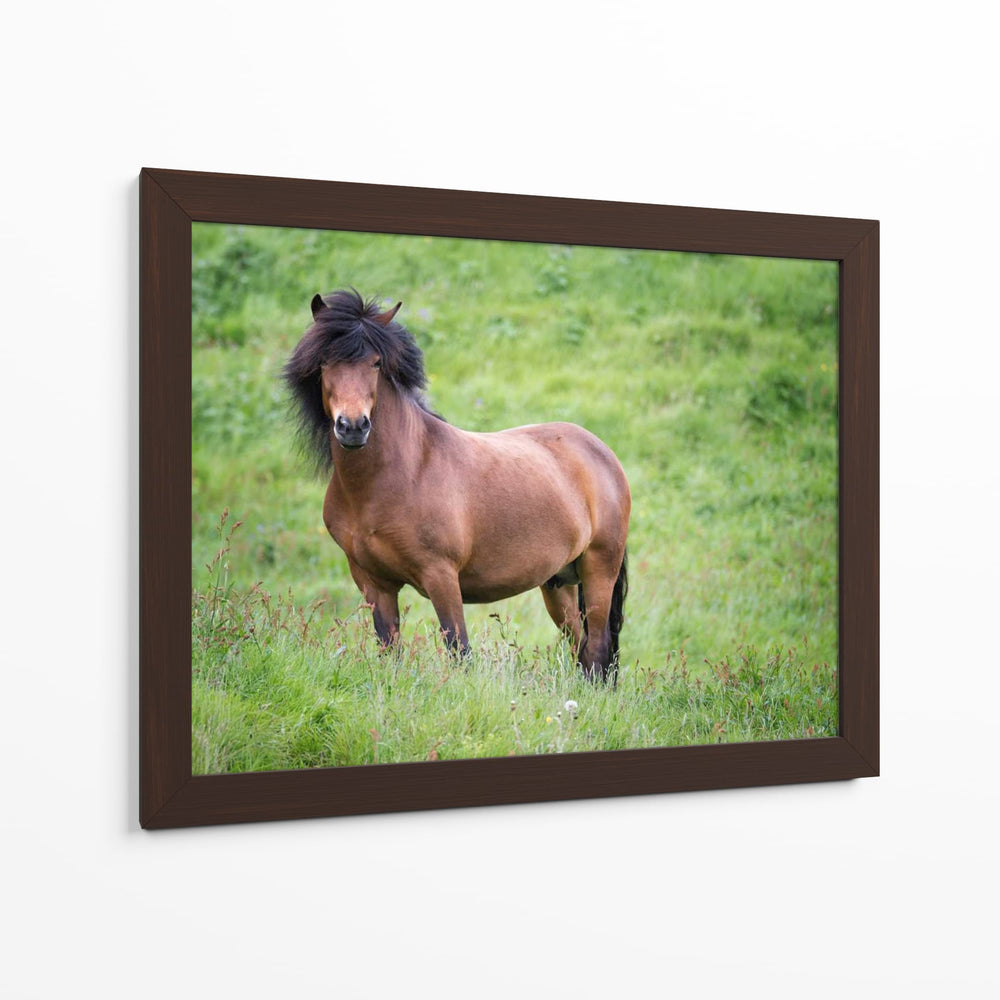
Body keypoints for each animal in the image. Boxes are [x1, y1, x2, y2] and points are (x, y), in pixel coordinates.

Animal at [283, 289, 630, 682]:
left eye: (375, 363)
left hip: (599, 568)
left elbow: (459, 651)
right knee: (579, 646)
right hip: (559, 583)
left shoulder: (442, 577)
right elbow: (390, 651)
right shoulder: (374, 584)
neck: (399, 474)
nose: (353, 426)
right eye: (325, 362)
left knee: (597, 648)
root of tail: (602, 453)